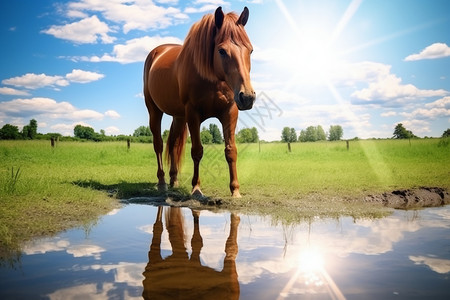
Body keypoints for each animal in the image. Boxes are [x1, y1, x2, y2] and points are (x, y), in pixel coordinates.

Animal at [142, 6, 255, 197]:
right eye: (222, 51)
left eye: (250, 50)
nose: (247, 97)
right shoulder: (193, 114)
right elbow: (197, 151)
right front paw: (196, 188)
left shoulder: (230, 112)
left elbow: (231, 150)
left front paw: (235, 190)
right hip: (155, 111)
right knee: (158, 144)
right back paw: (162, 182)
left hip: (179, 116)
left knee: (173, 144)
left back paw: (174, 179)